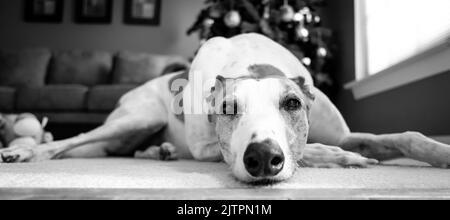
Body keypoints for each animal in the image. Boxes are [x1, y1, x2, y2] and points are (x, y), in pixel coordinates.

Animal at [0, 33, 450, 184]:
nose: (263, 158)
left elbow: (404, 136)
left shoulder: (348, 131)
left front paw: (441, 152)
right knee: (74, 139)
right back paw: (25, 151)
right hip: (138, 115)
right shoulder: (206, 148)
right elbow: (317, 150)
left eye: (292, 103)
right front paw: (338, 157)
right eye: (229, 108)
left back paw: (161, 151)